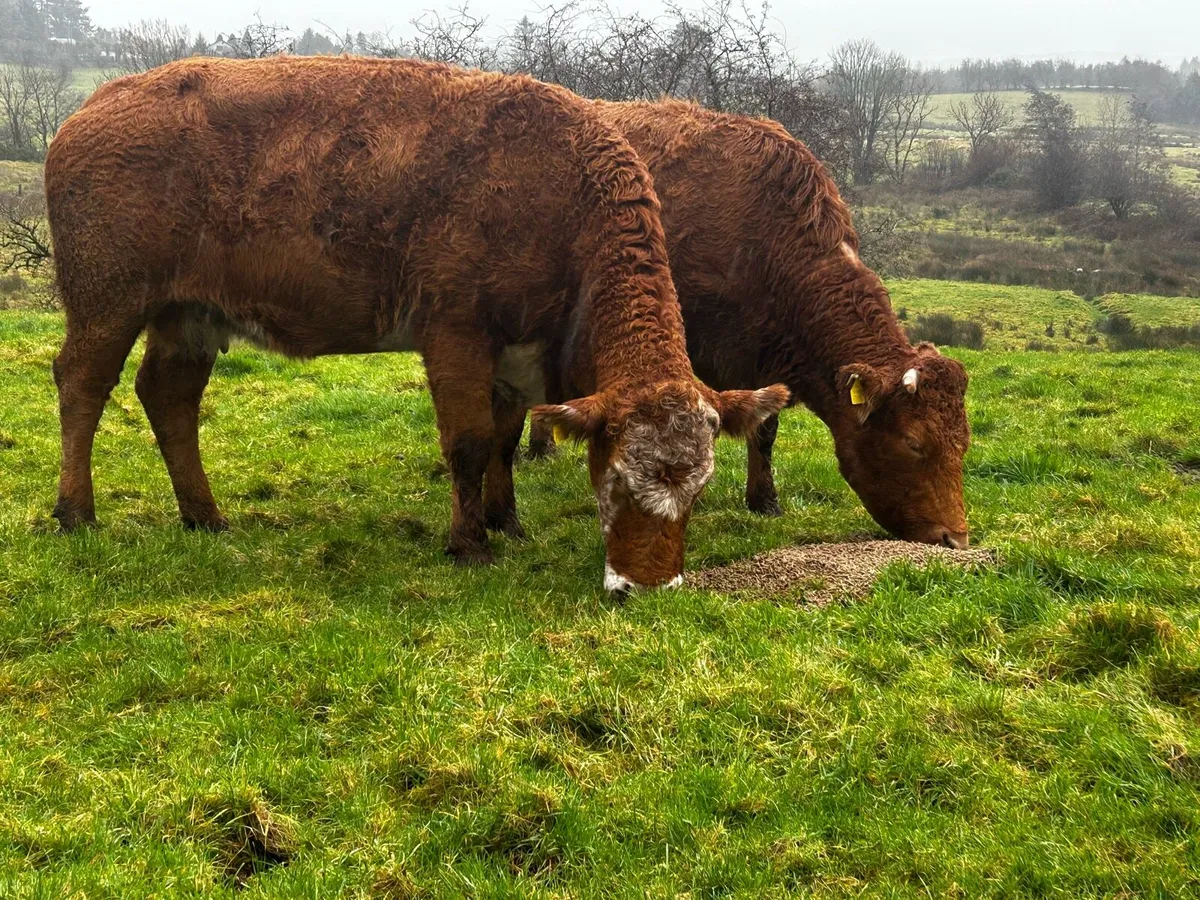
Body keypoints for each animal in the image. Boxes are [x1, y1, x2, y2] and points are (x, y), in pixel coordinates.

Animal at [44, 58, 788, 591]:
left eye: (698, 490)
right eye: (621, 481)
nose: (651, 583)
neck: (559, 194)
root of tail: (92, 108)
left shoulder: (516, 352)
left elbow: (502, 438)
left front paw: (506, 521)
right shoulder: (455, 333)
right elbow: (469, 442)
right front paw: (470, 544)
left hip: (189, 316)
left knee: (168, 397)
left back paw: (204, 516)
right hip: (108, 301)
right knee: (82, 383)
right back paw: (76, 511)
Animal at [514, 99, 971, 548]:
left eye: (964, 443)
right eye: (914, 443)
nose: (954, 538)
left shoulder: (764, 364)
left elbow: (764, 430)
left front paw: (764, 500)